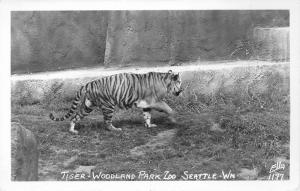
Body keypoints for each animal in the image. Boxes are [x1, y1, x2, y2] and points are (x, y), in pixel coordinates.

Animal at [49, 69, 183, 134]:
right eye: (180, 82)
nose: (182, 90)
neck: (165, 81)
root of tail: (88, 84)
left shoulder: (147, 104)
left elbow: (147, 116)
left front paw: (149, 125)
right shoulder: (156, 101)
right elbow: (169, 109)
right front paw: (174, 120)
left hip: (88, 106)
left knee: (75, 117)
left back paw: (72, 131)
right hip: (108, 106)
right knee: (107, 123)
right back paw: (116, 130)